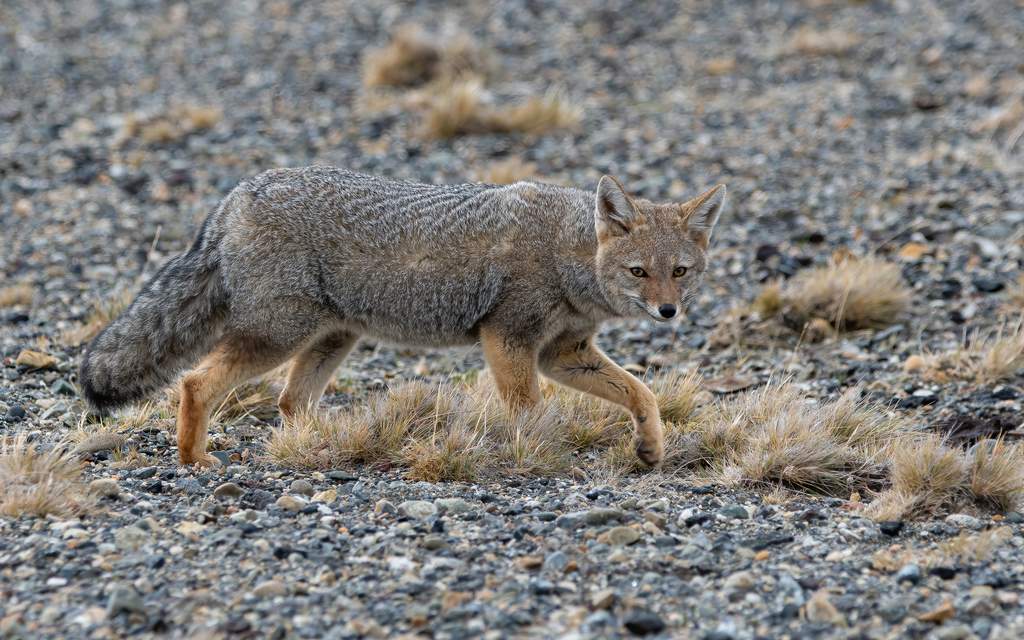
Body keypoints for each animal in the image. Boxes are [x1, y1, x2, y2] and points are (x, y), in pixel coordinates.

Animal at [80, 166, 726, 467]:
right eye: (639, 272)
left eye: (680, 271)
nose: (668, 311)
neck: (567, 252)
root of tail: (239, 192)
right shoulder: (509, 340)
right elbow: (530, 411)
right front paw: (541, 453)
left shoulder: (561, 353)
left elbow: (642, 392)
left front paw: (651, 447)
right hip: (277, 336)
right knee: (195, 381)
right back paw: (194, 460)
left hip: (330, 339)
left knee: (290, 402)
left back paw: (315, 449)